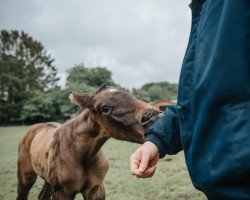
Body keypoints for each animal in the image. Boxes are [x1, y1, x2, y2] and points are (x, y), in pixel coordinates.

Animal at [16, 86, 160, 200]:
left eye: (132, 96)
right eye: (104, 108)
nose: (154, 117)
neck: (84, 156)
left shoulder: (95, 190)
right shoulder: (62, 192)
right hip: (26, 176)